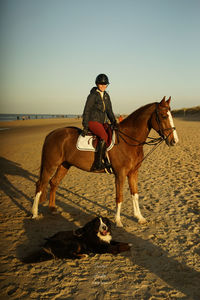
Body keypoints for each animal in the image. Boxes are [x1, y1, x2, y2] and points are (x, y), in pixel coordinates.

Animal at [32, 97, 179, 226]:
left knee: (53, 183)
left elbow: (135, 194)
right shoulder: (120, 174)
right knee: (40, 184)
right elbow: (119, 197)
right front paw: (118, 221)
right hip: (50, 165)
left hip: (64, 165)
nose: (174, 141)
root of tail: (52, 133)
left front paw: (140, 217)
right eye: (164, 116)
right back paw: (34, 213)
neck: (129, 140)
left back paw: (52, 209)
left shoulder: (133, 173)